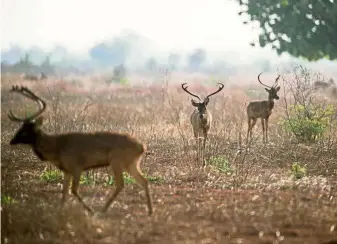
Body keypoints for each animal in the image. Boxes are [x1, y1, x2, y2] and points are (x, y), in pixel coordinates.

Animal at [7, 85, 152, 215]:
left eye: (25, 131)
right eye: (21, 127)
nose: (12, 141)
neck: (56, 148)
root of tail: (142, 147)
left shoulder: (77, 166)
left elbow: (74, 190)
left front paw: (90, 210)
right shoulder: (67, 170)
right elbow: (64, 192)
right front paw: (60, 211)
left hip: (117, 161)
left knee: (121, 184)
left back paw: (103, 210)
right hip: (131, 163)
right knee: (143, 181)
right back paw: (149, 211)